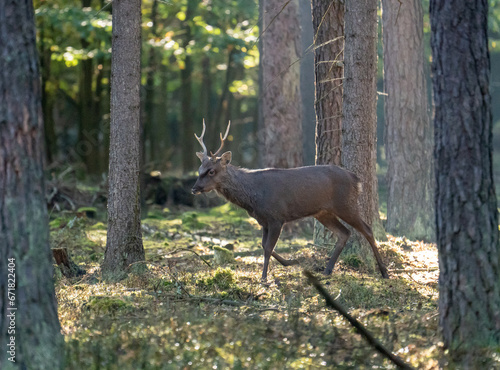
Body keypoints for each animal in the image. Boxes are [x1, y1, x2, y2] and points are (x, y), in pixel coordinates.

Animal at [191, 120, 390, 282]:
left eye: (211, 171)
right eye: (200, 169)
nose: (194, 188)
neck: (253, 198)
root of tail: (356, 179)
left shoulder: (276, 217)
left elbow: (268, 247)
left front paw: (264, 277)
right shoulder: (263, 221)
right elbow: (263, 245)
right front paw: (292, 261)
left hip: (345, 204)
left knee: (367, 229)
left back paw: (384, 271)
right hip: (323, 212)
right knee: (344, 233)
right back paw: (327, 270)